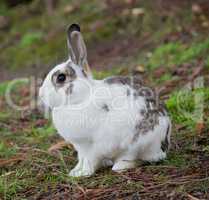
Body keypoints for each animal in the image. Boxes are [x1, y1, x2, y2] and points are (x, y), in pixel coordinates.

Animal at [39, 23, 171, 177]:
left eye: (61, 78)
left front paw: (83, 174)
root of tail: (163, 145)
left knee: (137, 159)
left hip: (137, 144)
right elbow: (81, 159)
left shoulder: (91, 146)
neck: (82, 98)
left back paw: (120, 165)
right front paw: (75, 171)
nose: (41, 94)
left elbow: (89, 160)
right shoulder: (81, 148)